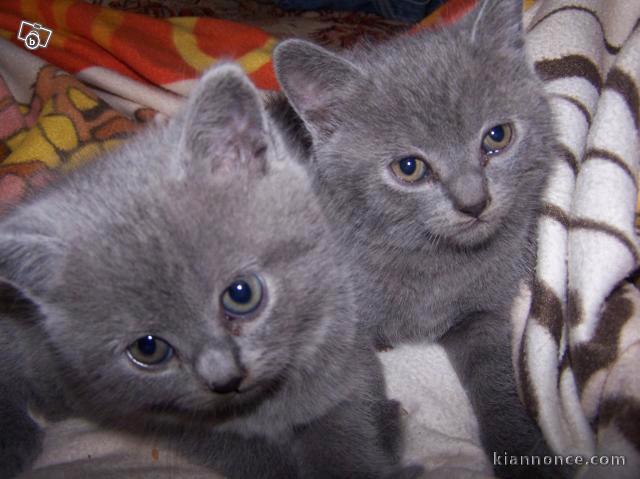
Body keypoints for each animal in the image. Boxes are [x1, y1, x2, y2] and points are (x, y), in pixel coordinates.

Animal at [0, 63, 420, 479]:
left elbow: (342, 429)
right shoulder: (162, 418)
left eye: (241, 294)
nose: (224, 379)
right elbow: (249, 456)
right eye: (148, 349)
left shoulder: (344, 337)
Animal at [272, 1, 568, 478]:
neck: (430, 261)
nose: (473, 202)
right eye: (409, 168)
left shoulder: (482, 314)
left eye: (497, 137)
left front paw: (526, 454)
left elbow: (498, 380)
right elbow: (338, 413)